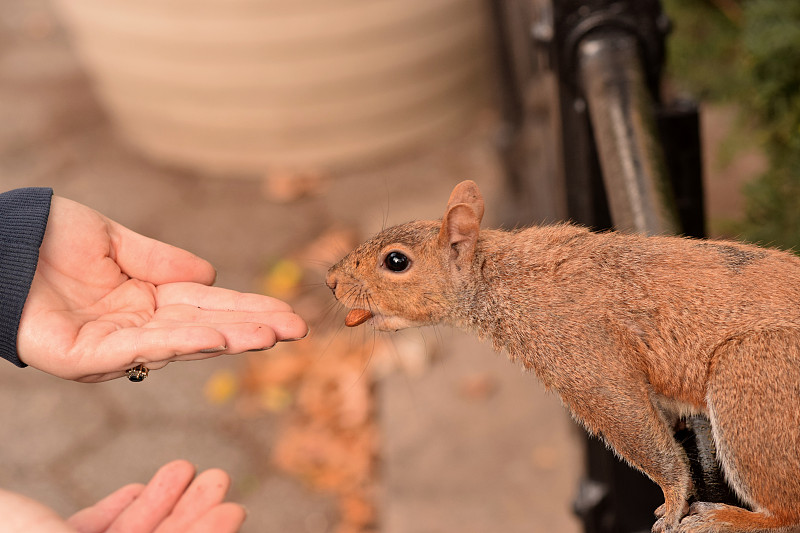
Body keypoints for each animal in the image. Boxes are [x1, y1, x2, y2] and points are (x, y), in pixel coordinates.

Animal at [324, 180, 800, 532]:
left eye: (396, 261)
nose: (330, 280)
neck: (504, 278)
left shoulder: (582, 353)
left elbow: (631, 420)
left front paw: (673, 499)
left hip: (754, 376)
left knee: (788, 516)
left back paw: (727, 519)